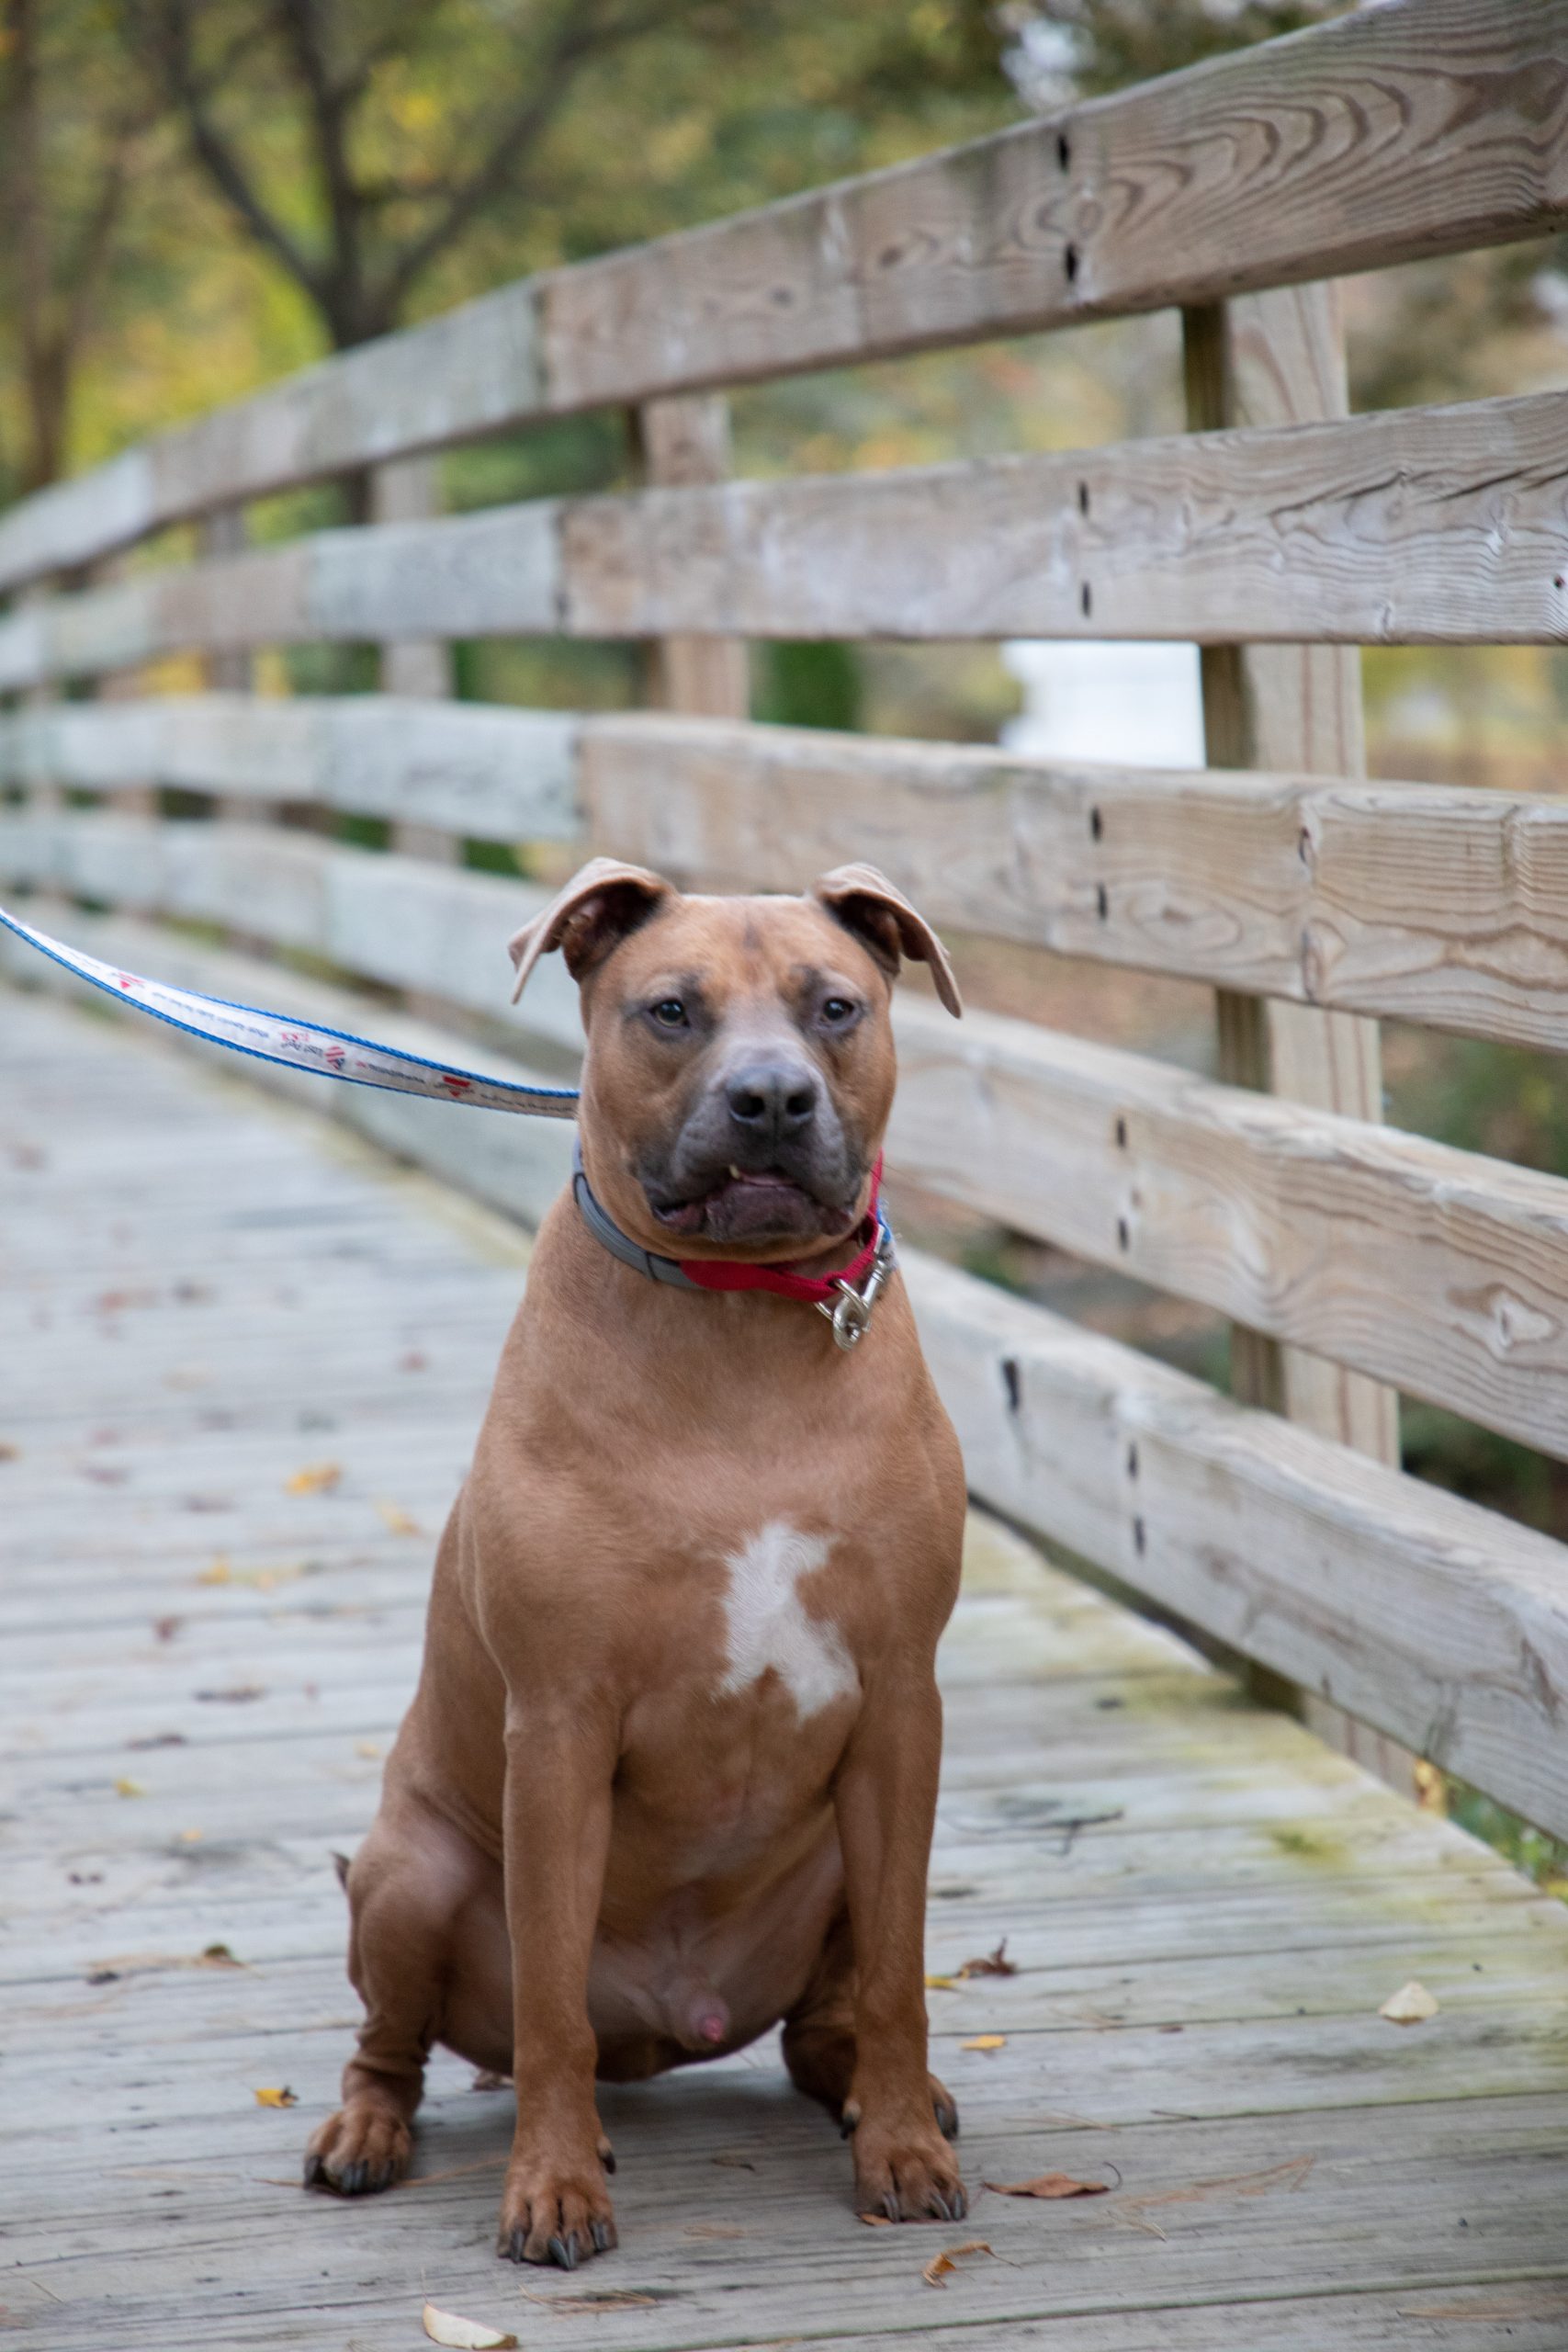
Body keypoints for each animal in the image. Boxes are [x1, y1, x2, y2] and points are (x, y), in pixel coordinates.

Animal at [304, 857, 968, 2266]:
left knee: (829, 2022)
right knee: (399, 2043)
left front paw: (900, 2146)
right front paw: (553, 2185)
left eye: (835, 1006)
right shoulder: (559, 1728)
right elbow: (551, 2003)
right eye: (669, 1010)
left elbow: (900, 1975)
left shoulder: (900, 1711)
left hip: (842, 1851)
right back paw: (366, 2133)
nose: (769, 1098)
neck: (742, 1323)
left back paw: (882, 2095)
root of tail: (671, 2027)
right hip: (410, 1870)